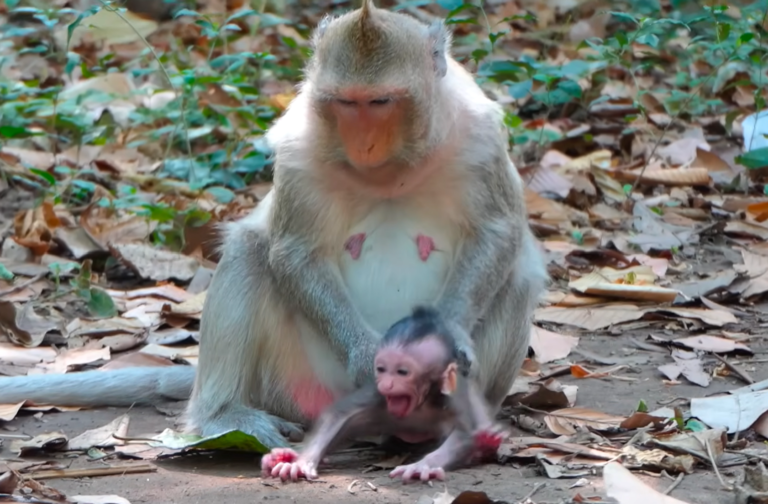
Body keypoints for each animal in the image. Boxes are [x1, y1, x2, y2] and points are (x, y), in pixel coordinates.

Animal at [0, 0, 548, 453]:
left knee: (517, 274)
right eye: (346, 103)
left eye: (381, 102)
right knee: (249, 250)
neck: (393, 169)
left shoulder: (480, 136)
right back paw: (223, 415)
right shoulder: (301, 148)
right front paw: (365, 356)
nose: (365, 143)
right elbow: (293, 249)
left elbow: (497, 233)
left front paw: (448, 338)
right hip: (294, 382)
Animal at [261, 306, 505, 483]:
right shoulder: (375, 393)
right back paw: (283, 456)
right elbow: (338, 415)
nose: (387, 384)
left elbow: (464, 434)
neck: (421, 403)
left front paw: (422, 466)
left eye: (402, 372)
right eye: (381, 369)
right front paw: (302, 461)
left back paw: (487, 442)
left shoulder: (450, 399)